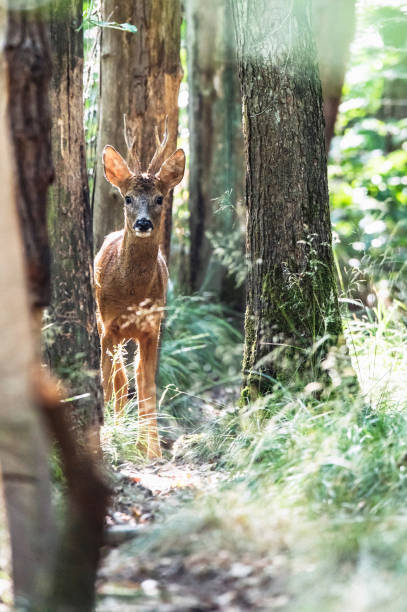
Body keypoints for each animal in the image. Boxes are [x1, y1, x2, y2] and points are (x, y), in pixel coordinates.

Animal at [95, 119, 186, 456]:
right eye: (128, 198)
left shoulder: (152, 327)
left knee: (130, 377)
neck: (132, 295)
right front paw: (108, 438)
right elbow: (108, 380)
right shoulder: (110, 325)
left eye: (160, 198)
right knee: (118, 378)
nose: (143, 223)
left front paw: (152, 451)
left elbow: (147, 385)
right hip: (102, 321)